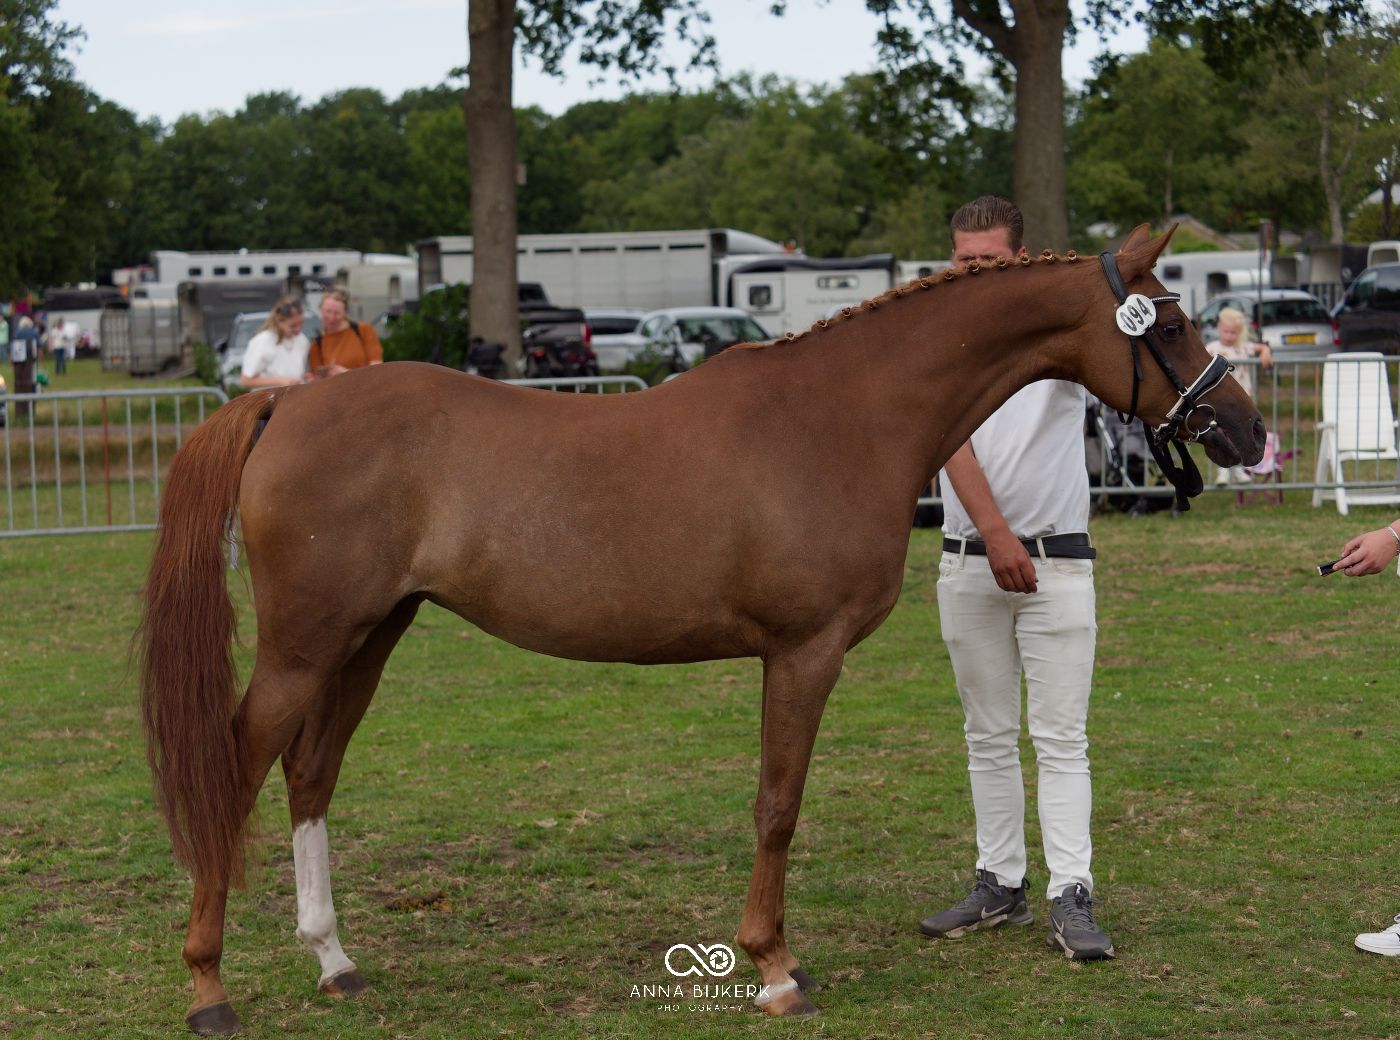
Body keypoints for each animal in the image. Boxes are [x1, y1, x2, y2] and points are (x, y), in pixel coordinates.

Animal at [139, 224, 1265, 1034]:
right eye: (1168, 328)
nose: (1247, 432)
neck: (841, 414)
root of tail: (286, 407)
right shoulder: (802, 652)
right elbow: (777, 806)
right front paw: (774, 969)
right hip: (305, 644)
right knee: (240, 765)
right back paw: (208, 987)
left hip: (371, 634)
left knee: (311, 770)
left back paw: (334, 961)